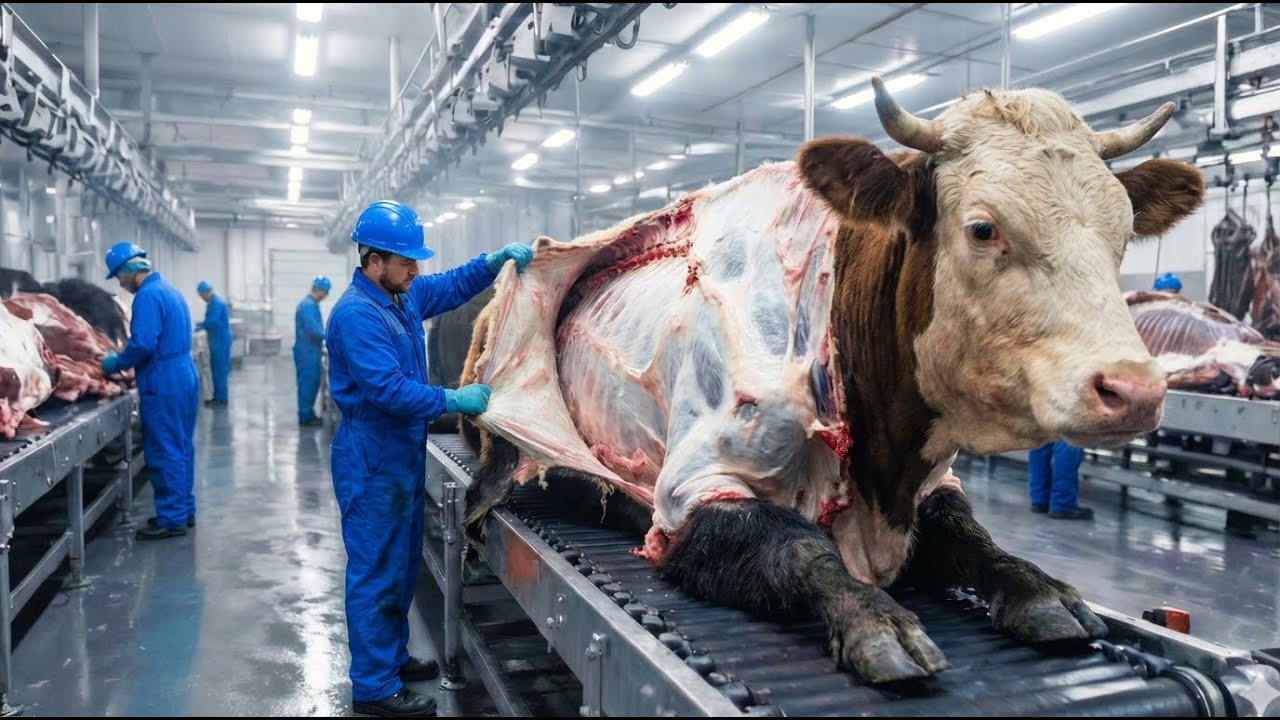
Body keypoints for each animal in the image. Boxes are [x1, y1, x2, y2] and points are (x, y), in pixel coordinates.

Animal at [457, 76, 1205, 684]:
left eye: (1124, 231)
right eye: (983, 228)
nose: (1135, 389)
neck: (884, 473)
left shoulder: (935, 486)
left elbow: (977, 540)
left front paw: (1042, 589)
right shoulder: (691, 488)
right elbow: (802, 548)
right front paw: (879, 623)